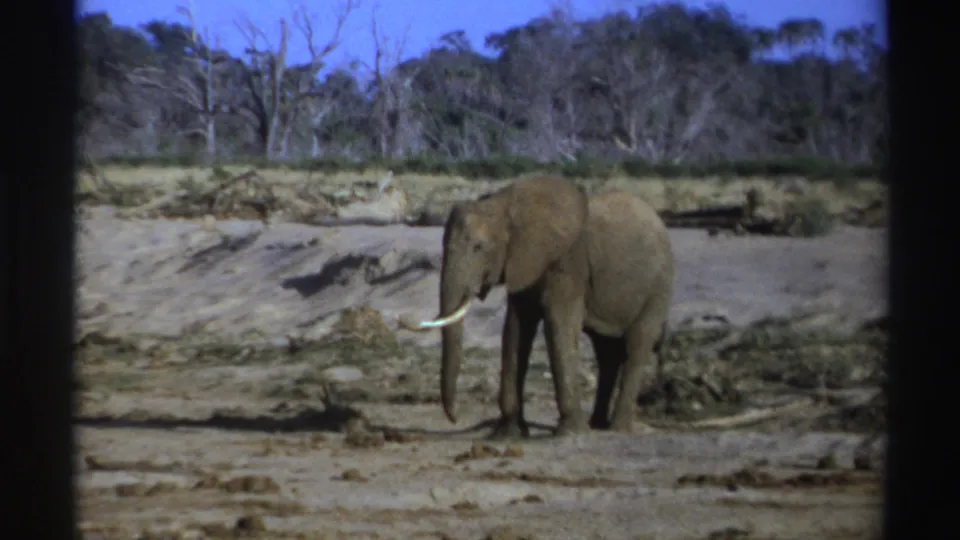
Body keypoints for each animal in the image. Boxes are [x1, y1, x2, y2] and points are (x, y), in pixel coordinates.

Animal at [401, 175, 675, 437]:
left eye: (478, 247)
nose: (455, 418)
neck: (505, 205)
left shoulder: (568, 263)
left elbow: (559, 325)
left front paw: (570, 432)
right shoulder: (523, 264)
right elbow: (516, 330)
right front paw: (509, 434)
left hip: (659, 286)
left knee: (637, 344)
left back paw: (617, 428)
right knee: (606, 352)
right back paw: (597, 424)